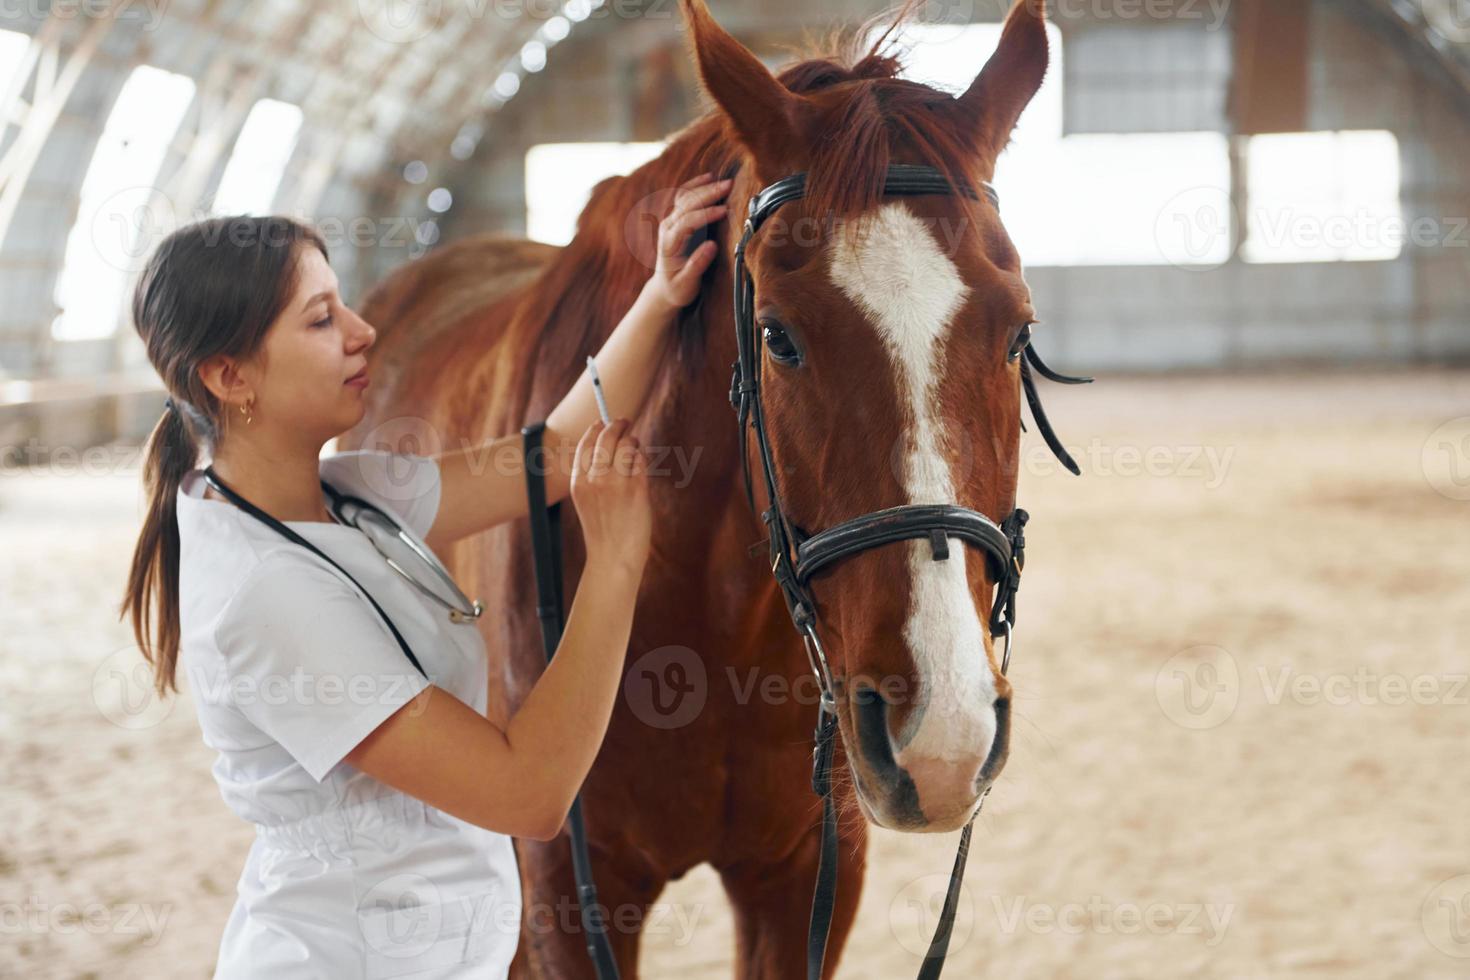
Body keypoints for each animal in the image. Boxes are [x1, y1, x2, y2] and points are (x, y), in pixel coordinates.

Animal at [343, 0, 1058, 975]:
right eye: (779, 336)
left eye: (1019, 333)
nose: (942, 735)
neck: (715, 624)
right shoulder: (569, 886)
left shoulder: (809, 875)